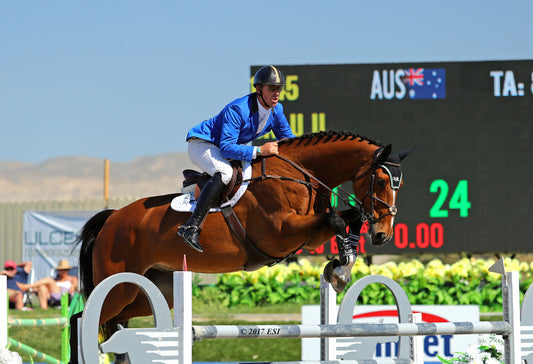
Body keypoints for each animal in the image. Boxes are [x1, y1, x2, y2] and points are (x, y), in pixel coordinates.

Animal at [69, 131, 412, 364]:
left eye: (400, 185)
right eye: (382, 181)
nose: (382, 235)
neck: (301, 174)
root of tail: (112, 218)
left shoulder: (308, 234)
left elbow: (347, 218)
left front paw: (339, 267)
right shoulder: (281, 232)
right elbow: (338, 219)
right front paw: (340, 269)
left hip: (154, 291)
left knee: (116, 324)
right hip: (119, 286)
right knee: (82, 319)